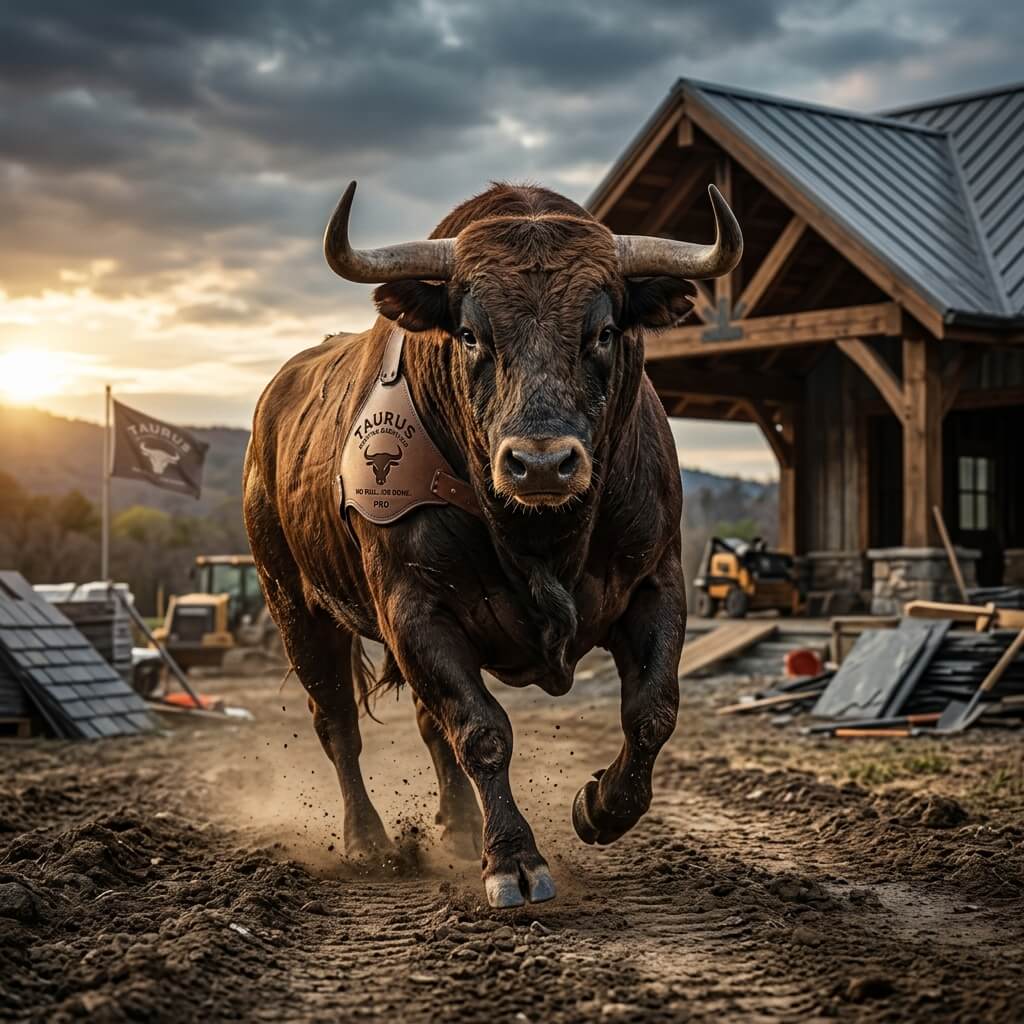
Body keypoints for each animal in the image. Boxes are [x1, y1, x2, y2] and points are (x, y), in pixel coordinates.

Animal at [244, 180, 741, 908]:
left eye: (603, 331)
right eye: (472, 333)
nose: (540, 465)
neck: (542, 538)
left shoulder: (658, 583)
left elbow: (652, 712)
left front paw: (597, 808)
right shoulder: (415, 610)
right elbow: (481, 731)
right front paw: (513, 858)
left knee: (428, 728)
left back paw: (455, 829)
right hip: (295, 606)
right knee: (338, 722)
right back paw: (370, 842)